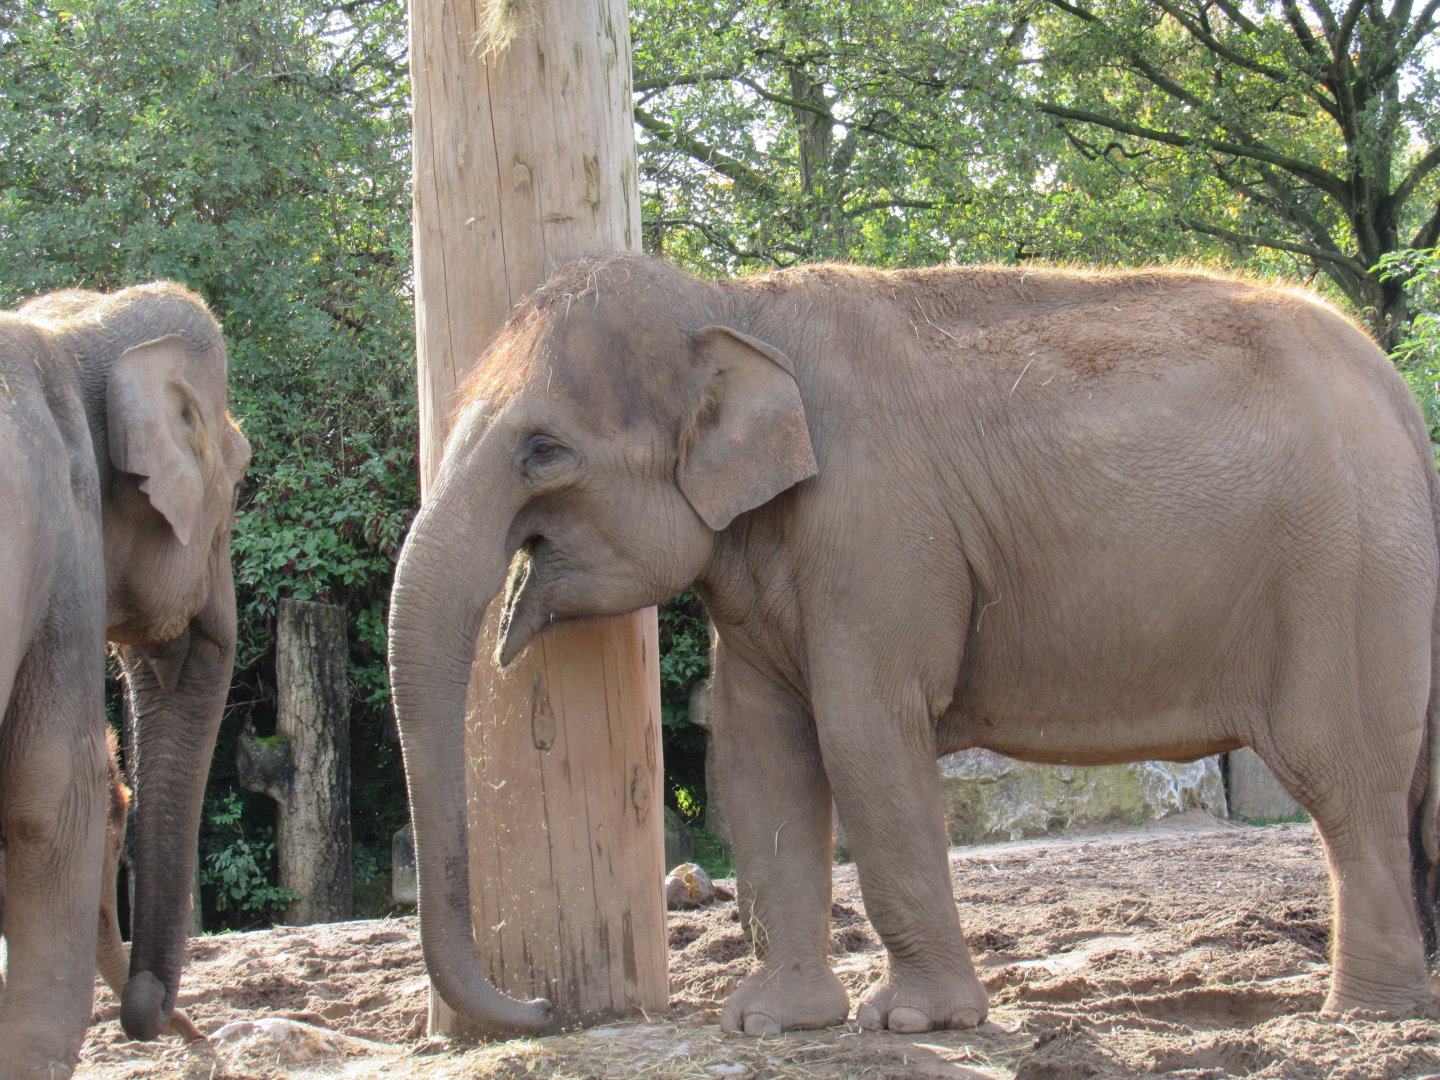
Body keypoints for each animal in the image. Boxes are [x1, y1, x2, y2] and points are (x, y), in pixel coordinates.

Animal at [387, 254, 1440, 1037]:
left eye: (542, 452)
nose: (542, 1004)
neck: (734, 301)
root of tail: (1400, 393)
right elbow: (757, 751)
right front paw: (769, 1023)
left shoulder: (875, 529)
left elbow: (863, 734)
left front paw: (915, 1024)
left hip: (1348, 571)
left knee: (1343, 780)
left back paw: (1363, 1016)